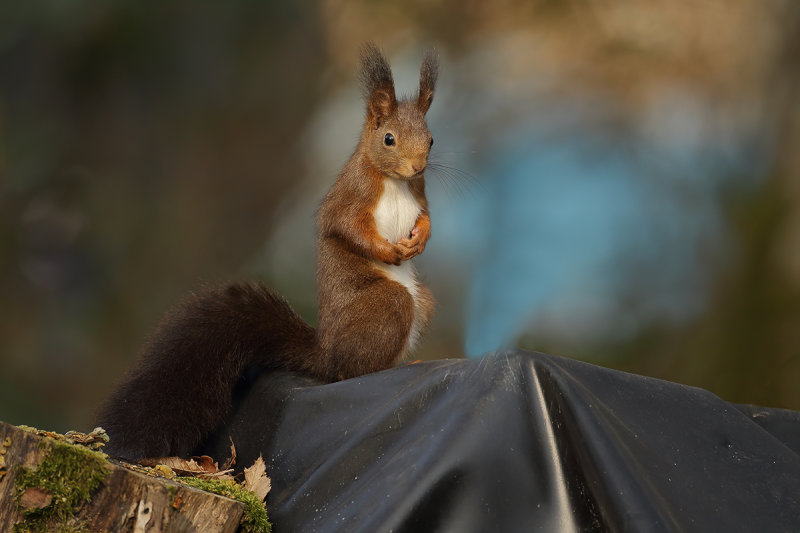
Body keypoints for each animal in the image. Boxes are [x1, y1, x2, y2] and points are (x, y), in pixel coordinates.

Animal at [98, 43, 444, 460]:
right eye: (389, 139)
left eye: (431, 140)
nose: (417, 166)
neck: (394, 182)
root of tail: (325, 353)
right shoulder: (349, 197)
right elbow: (345, 228)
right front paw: (387, 251)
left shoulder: (419, 195)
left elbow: (426, 218)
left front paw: (418, 240)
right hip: (386, 305)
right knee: (349, 373)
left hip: (422, 301)